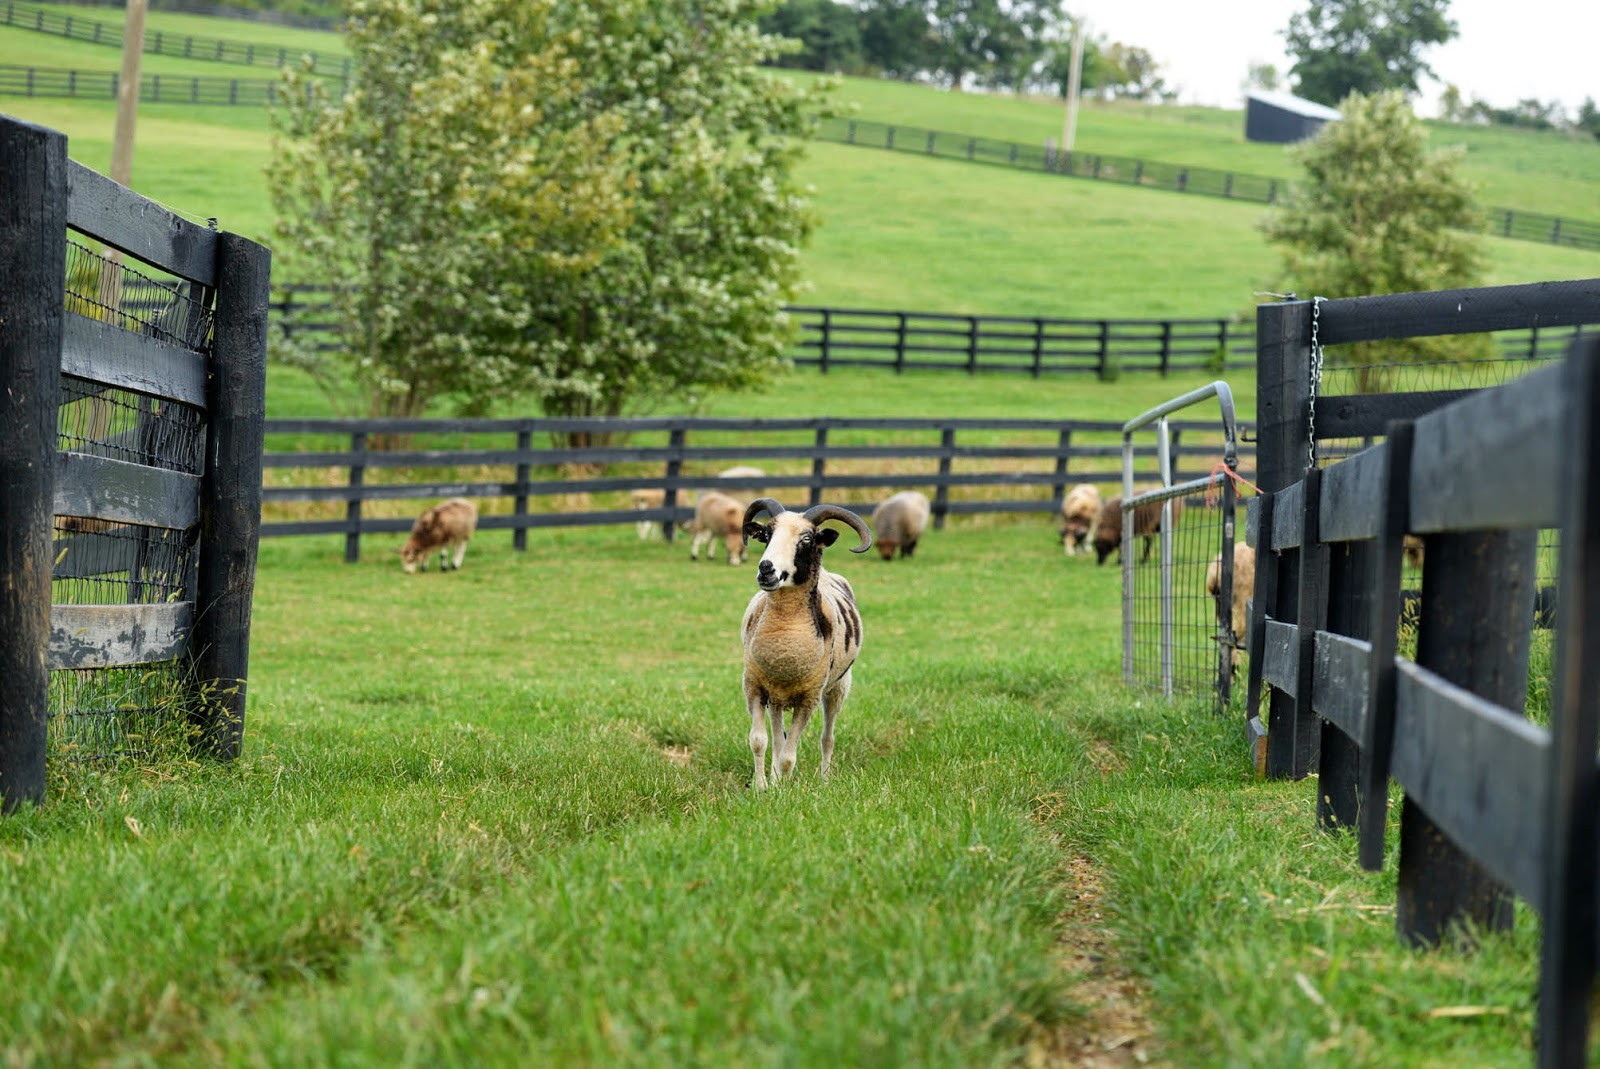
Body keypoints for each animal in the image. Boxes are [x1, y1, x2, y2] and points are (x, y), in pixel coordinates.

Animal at [738, 498, 872, 789]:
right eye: (767, 534)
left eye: (807, 538)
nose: (766, 568)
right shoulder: (754, 686)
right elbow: (759, 741)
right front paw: (762, 787)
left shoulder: (808, 698)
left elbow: (790, 755)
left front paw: (785, 790)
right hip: (776, 698)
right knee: (778, 737)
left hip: (839, 688)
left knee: (827, 737)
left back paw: (824, 779)